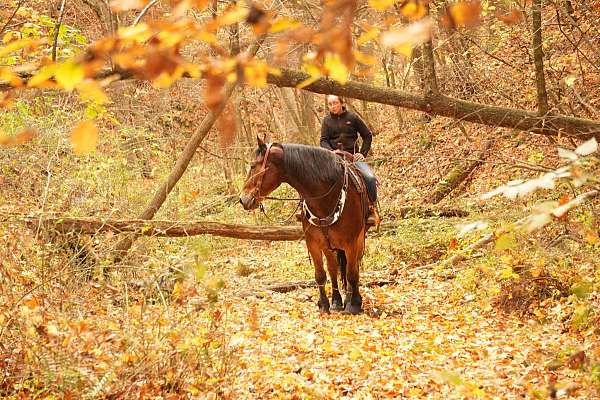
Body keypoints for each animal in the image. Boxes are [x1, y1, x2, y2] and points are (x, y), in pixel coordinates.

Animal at [239, 136, 370, 314]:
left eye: (253, 166)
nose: (243, 199)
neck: (325, 198)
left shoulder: (351, 242)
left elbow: (351, 273)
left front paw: (354, 304)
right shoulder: (313, 242)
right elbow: (320, 274)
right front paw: (324, 304)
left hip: (357, 240)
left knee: (353, 266)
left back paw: (350, 299)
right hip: (328, 245)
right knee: (333, 268)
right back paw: (336, 301)